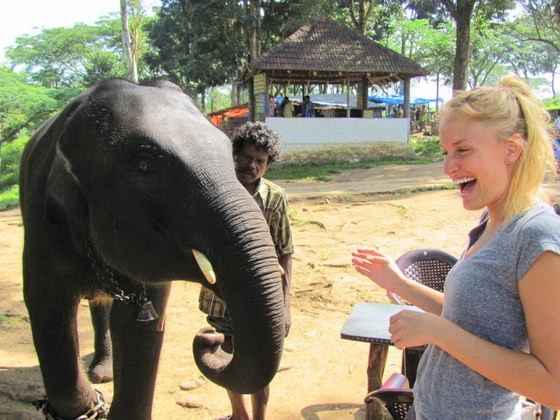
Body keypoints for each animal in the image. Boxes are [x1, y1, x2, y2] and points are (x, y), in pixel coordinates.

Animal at [19, 79, 286, 420]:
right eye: (144, 164)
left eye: (230, 156)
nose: (209, 338)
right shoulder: (42, 226)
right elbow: (46, 306)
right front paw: (88, 405)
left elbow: (140, 325)